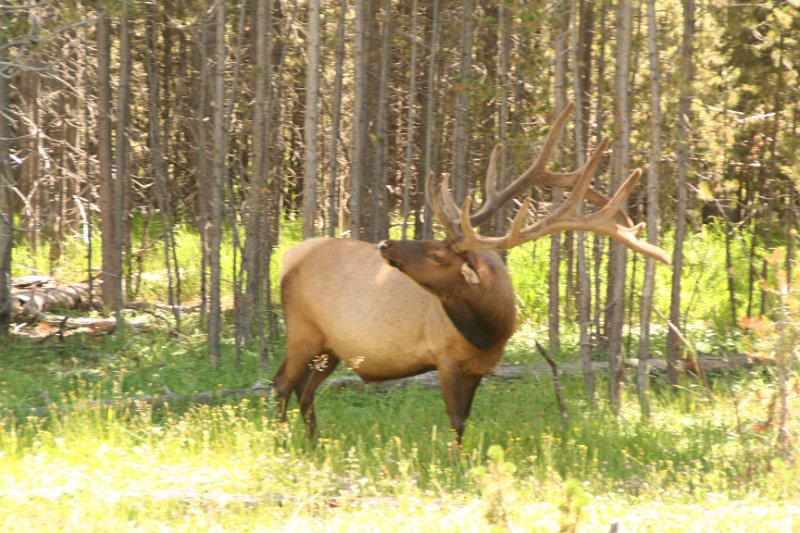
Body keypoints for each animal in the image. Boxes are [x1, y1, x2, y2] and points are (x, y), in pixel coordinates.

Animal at [273, 103, 670, 443]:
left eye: (436, 252)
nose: (385, 244)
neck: (489, 328)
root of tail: (288, 257)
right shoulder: (444, 354)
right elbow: (455, 420)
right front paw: (456, 463)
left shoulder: (481, 366)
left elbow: (464, 417)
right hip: (303, 329)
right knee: (282, 383)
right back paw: (281, 443)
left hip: (331, 345)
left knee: (303, 389)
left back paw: (313, 442)